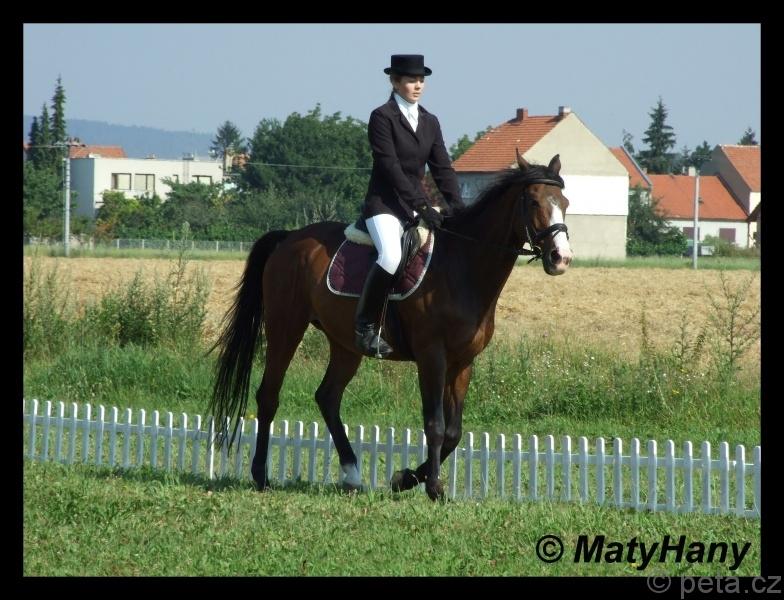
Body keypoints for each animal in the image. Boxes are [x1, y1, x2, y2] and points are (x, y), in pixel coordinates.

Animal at [209, 150, 573, 501]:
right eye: (534, 202)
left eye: (565, 203)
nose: (561, 258)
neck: (463, 267)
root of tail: (290, 239)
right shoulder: (431, 356)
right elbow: (435, 424)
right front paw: (432, 487)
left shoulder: (463, 362)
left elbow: (454, 432)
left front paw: (405, 479)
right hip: (286, 327)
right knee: (269, 395)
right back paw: (261, 475)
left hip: (345, 344)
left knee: (328, 397)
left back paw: (352, 474)